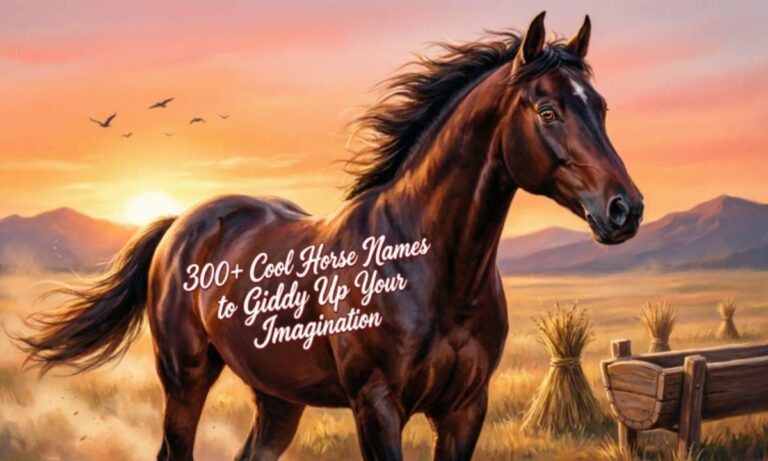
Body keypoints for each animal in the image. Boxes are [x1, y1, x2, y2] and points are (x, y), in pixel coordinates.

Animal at [17, 12, 643, 461]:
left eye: (602, 107)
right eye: (547, 111)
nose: (625, 209)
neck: (430, 270)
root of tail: (181, 225)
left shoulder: (465, 410)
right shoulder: (377, 407)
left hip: (276, 400)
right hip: (185, 379)